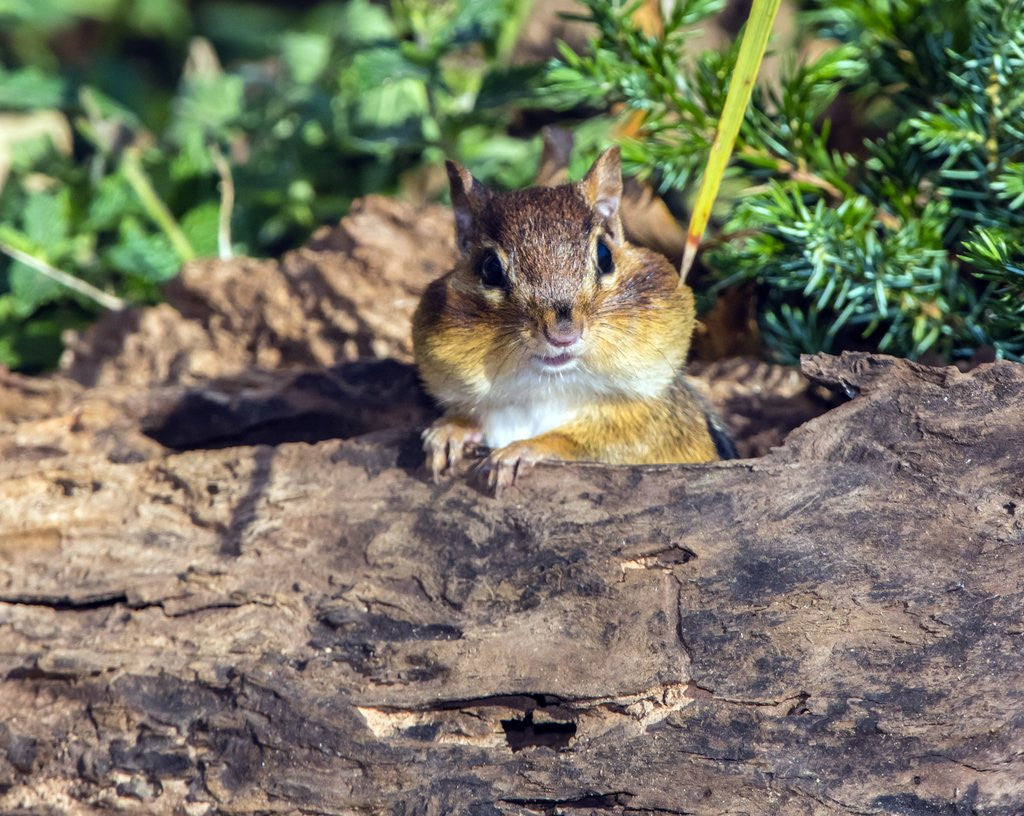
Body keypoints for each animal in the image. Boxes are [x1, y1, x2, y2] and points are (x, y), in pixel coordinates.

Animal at [412, 146, 736, 491]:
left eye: (605, 255)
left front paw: (522, 449)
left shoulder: (649, 427)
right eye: (490, 269)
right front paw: (450, 431)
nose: (563, 334)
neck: (546, 392)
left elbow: (586, 441)